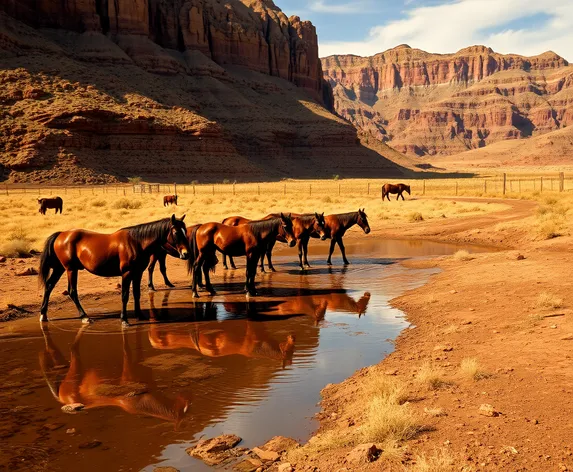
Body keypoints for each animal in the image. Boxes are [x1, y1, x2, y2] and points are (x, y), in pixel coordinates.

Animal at [38, 216, 190, 326]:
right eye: (176, 232)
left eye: (185, 231)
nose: (186, 253)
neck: (136, 242)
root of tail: (61, 235)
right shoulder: (127, 273)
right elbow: (125, 296)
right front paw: (124, 320)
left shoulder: (138, 273)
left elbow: (136, 294)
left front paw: (140, 315)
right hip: (71, 269)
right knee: (72, 291)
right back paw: (84, 317)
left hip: (60, 269)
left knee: (49, 286)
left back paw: (43, 314)